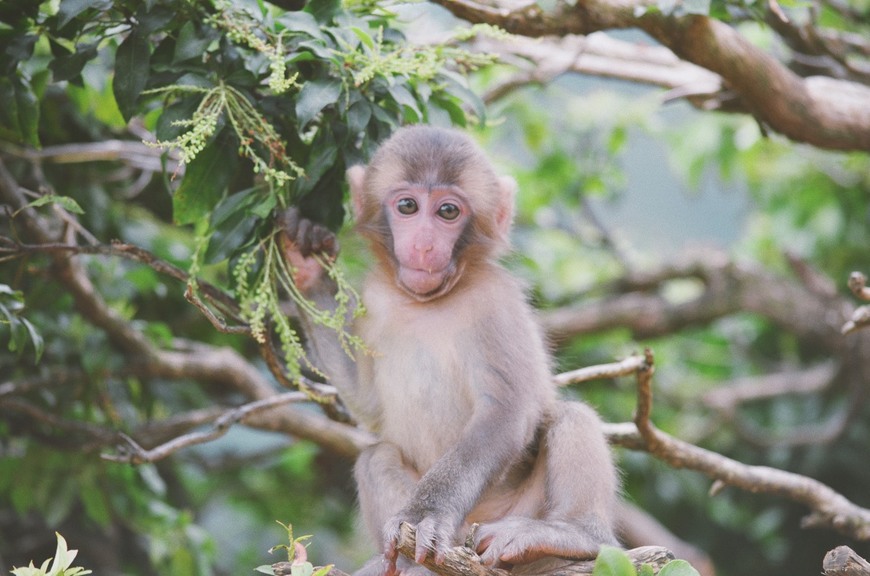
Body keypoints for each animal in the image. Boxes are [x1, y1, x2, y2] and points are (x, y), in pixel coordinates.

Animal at [280, 126, 620, 576]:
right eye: (408, 206)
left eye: (447, 212)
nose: (424, 246)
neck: (428, 304)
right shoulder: (376, 297)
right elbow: (369, 406)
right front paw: (308, 265)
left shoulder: (496, 301)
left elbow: (505, 412)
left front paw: (426, 514)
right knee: (376, 456)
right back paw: (403, 566)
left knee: (571, 416)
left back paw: (572, 533)